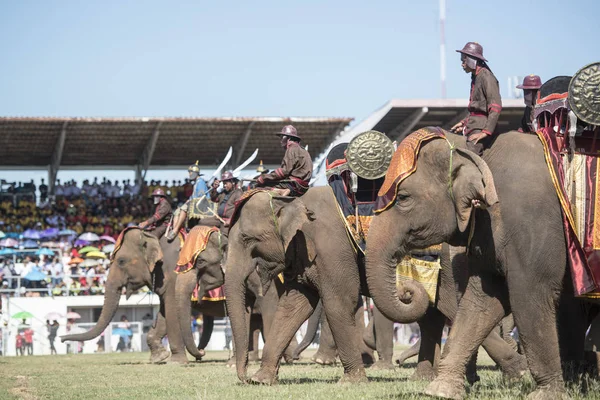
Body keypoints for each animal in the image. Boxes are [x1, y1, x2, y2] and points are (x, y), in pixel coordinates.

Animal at [223, 190, 428, 384]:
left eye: (247, 239)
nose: (244, 377)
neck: (293, 200)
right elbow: (293, 306)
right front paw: (261, 380)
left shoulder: (332, 247)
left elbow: (339, 301)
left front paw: (352, 381)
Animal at [366, 129, 596, 400]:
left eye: (402, 198)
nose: (406, 291)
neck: (478, 152)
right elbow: (480, 301)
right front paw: (439, 390)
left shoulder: (530, 220)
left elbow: (530, 296)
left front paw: (546, 394)